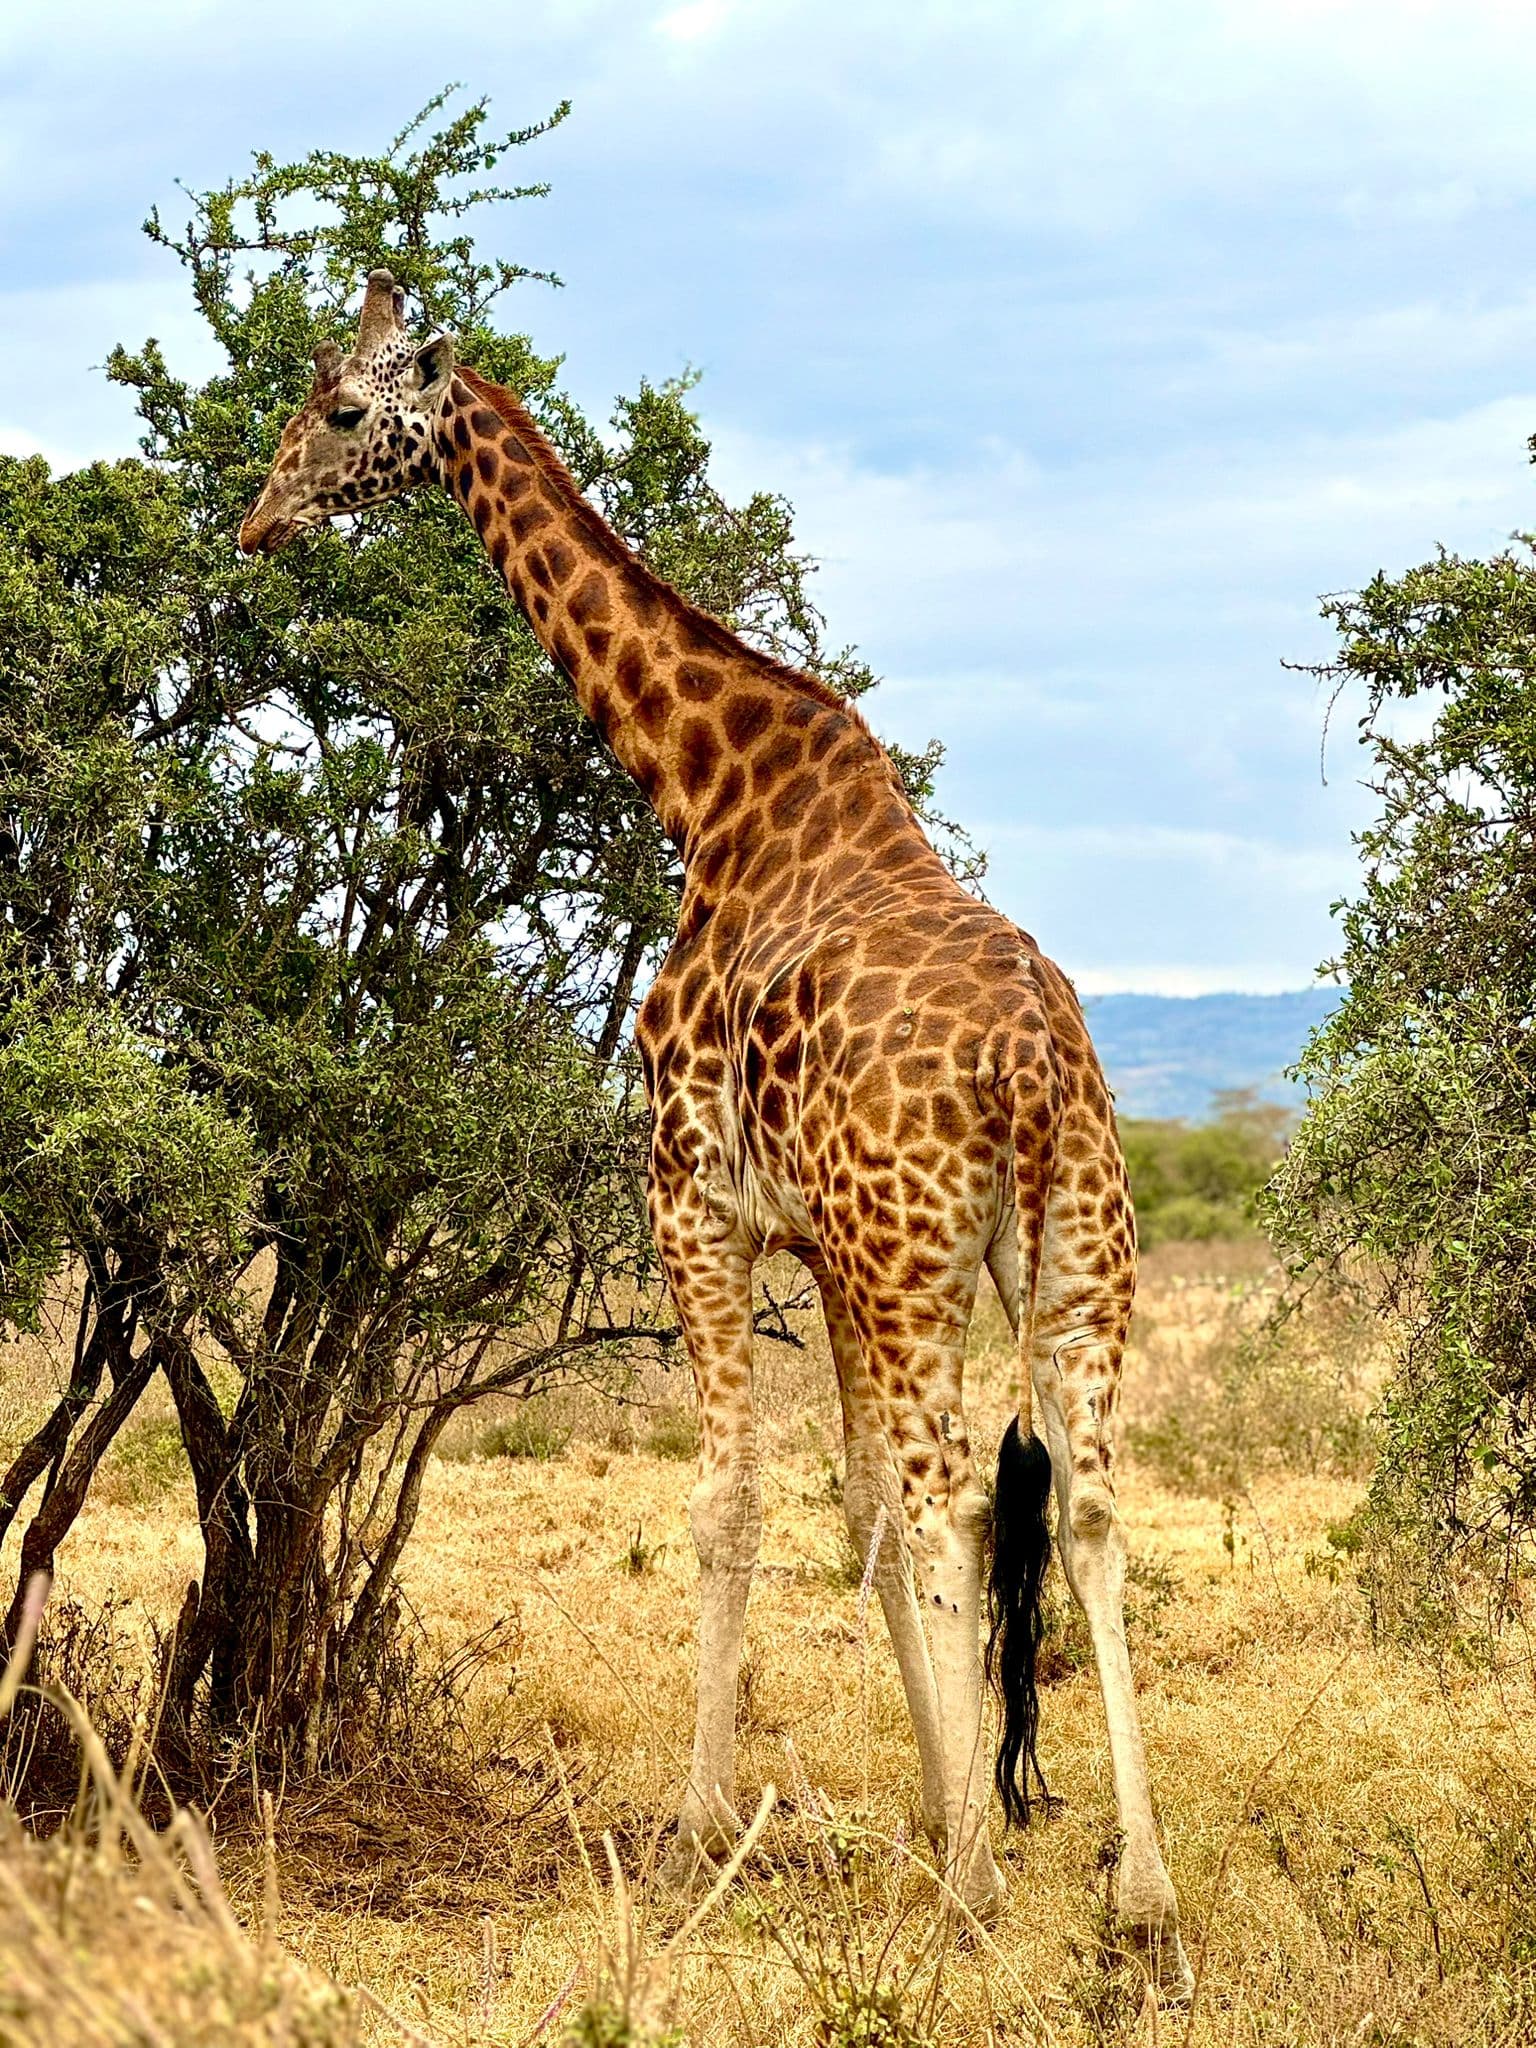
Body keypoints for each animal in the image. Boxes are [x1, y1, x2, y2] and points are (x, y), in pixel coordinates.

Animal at [239, 271, 1193, 1996]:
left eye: (342, 410)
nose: (258, 517)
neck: (710, 794)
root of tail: (1029, 1068)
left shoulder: (697, 1205)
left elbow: (732, 1504)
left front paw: (703, 1830)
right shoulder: (823, 1249)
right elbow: (857, 1509)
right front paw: (933, 1805)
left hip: (925, 1260)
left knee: (962, 1500)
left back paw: (980, 1888)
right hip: (1069, 1252)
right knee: (1084, 1506)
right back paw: (1136, 1898)